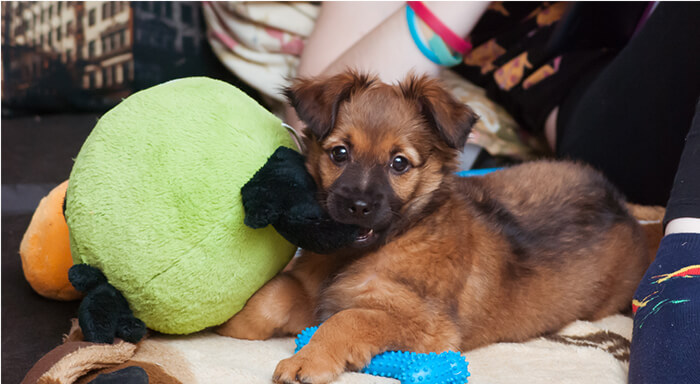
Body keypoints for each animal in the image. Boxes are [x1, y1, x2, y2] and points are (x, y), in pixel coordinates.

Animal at [217, 72, 656, 384]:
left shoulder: (427, 327)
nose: (358, 206)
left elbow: (348, 319)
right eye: (339, 153)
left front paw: (307, 360)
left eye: (399, 163)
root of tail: (619, 206)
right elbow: (269, 298)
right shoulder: (312, 291)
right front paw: (226, 325)